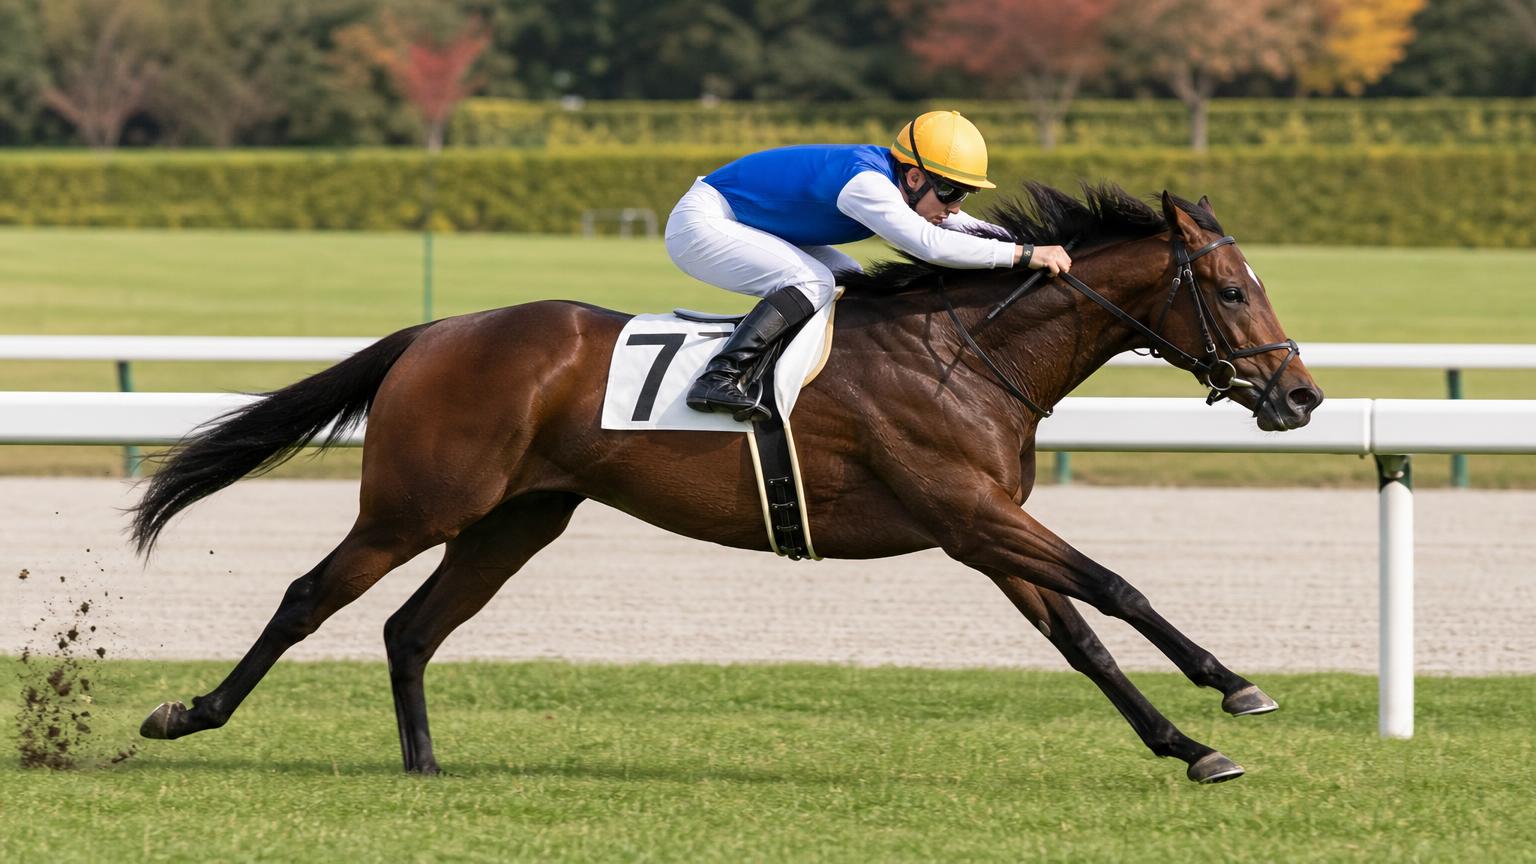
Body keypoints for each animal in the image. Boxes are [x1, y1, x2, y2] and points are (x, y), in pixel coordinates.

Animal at [130, 182, 1322, 784]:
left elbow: (1079, 638)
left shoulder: (983, 528)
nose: (1301, 396)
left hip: (516, 520)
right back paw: (188, 714)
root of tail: (437, 332)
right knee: (309, 599)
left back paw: (425, 764)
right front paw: (1233, 689)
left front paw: (1189, 745)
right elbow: (1118, 588)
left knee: (411, 627)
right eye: (1229, 288)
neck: (968, 350)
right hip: (417, 503)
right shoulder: (969, 513)